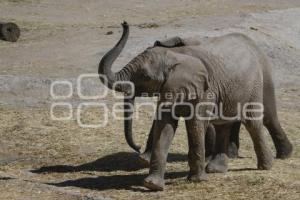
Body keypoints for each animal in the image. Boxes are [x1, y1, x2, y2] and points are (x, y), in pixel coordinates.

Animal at [98, 21, 292, 191]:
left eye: (145, 76)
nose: (124, 23)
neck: (175, 55)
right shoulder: (171, 88)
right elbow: (164, 125)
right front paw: (152, 184)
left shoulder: (205, 88)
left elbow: (195, 124)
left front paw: (197, 180)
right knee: (224, 124)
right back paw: (216, 168)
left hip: (257, 81)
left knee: (257, 120)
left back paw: (272, 162)